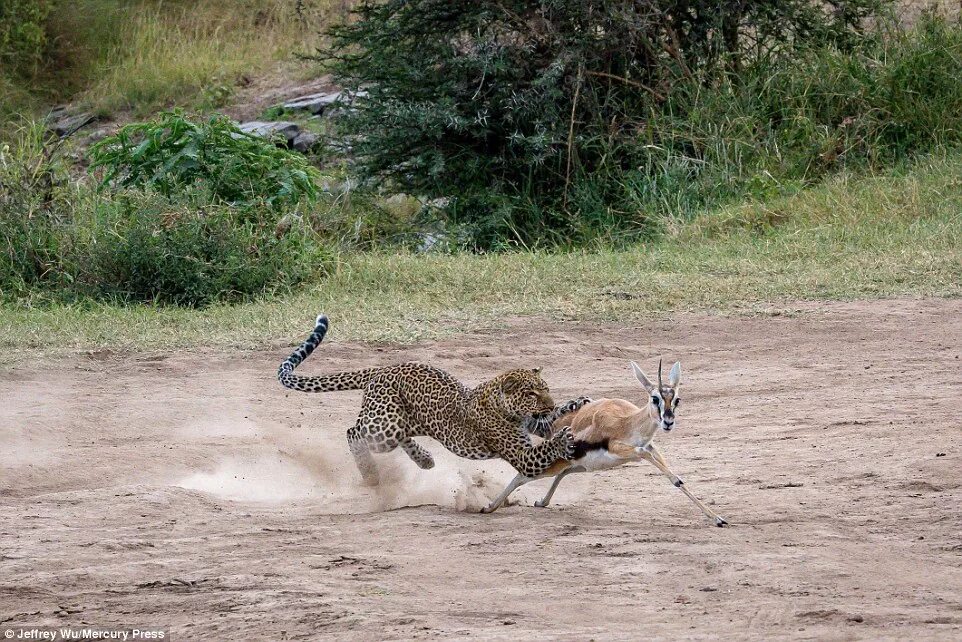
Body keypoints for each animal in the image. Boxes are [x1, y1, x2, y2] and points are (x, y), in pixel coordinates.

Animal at [278, 312, 588, 482]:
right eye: (530, 393)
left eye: (546, 388)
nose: (548, 402)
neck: (507, 408)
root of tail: (382, 368)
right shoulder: (522, 455)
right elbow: (542, 449)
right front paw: (562, 441)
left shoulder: (534, 424)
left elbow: (550, 421)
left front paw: (576, 404)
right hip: (384, 427)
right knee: (353, 432)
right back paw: (371, 476)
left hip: (402, 422)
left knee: (395, 435)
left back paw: (424, 459)